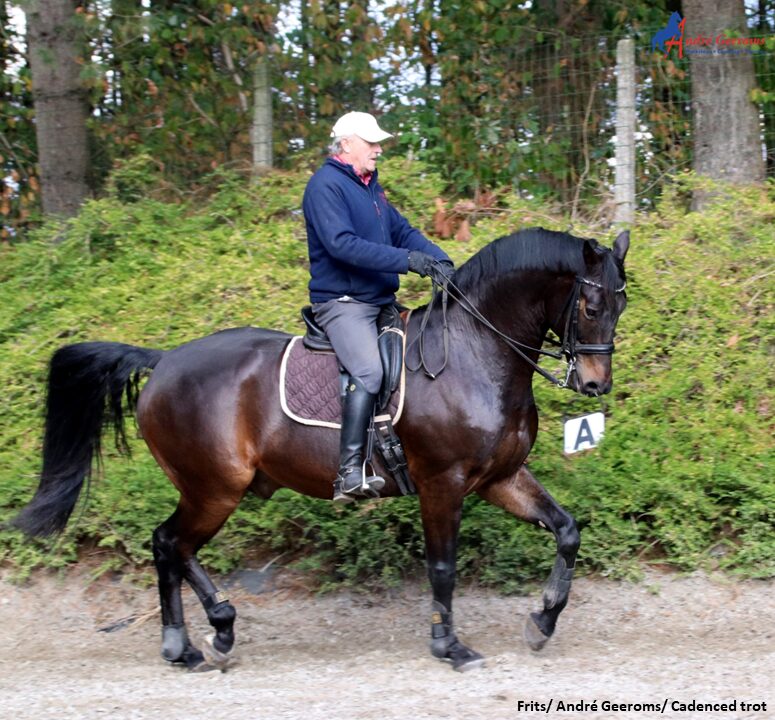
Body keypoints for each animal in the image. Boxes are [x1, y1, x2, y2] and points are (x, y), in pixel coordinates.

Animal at [13, 228, 632, 672]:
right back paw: (204, 635)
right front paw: (449, 647)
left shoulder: (501, 478)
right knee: (170, 543)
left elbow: (567, 531)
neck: (474, 353)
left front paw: (542, 621)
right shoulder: (443, 484)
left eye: (620, 307)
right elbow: (442, 567)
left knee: (172, 548)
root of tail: (164, 362)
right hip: (214, 488)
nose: (594, 386)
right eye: (590, 306)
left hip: (214, 489)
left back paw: (194, 641)